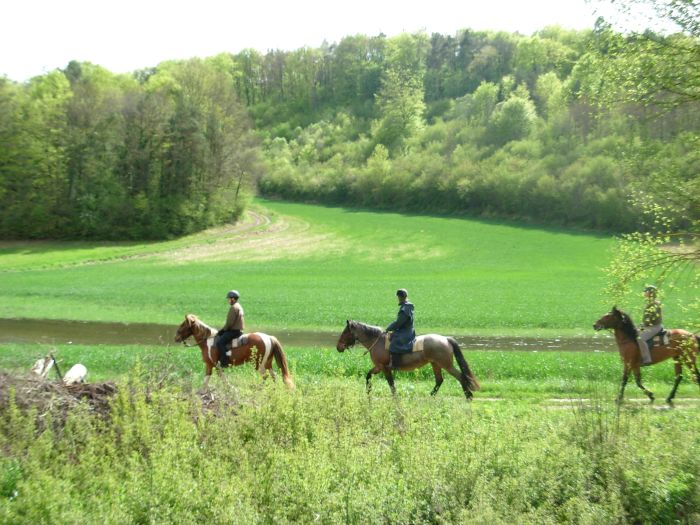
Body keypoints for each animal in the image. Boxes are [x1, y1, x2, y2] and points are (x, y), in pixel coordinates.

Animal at [334, 318, 478, 400]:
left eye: (345, 332)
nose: (338, 347)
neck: (377, 341)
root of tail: (446, 339)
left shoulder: (384, 367)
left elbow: (391, 384)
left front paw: (394, 397)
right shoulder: (378, 367)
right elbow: (368, 375)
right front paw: (368, 391)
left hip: (446, 365)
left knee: (461, 377)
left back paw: (469, 396)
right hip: (435, 364)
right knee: (439, 380)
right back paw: (430, 396)